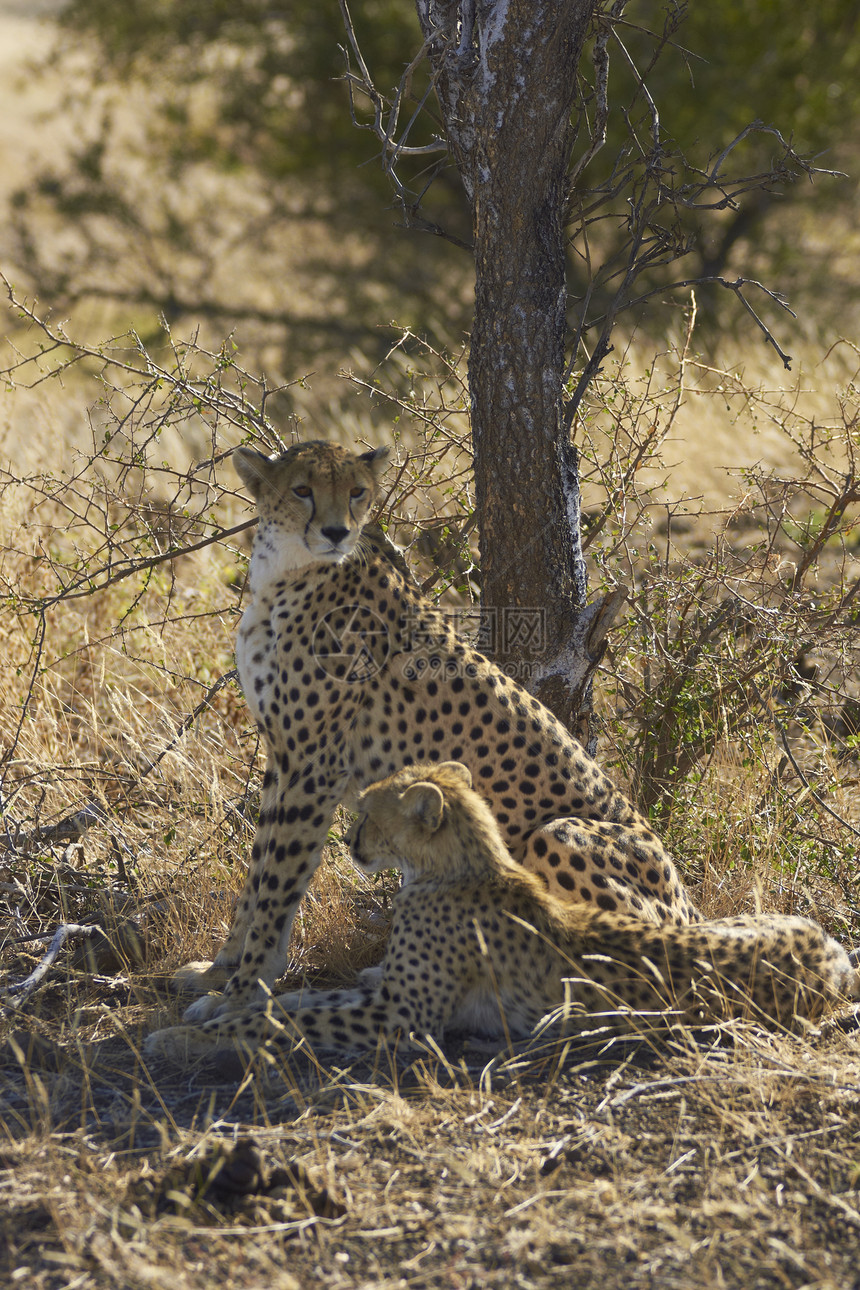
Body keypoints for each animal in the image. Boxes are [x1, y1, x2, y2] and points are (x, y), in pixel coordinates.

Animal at [144, 758, 856, 1062]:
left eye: (368, 813)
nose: (349, 843)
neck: (455, 869)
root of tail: (832, 955)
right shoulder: (395, 1000)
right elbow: (298, 1003)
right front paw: (223, 1006)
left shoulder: (403, 1019)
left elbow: (289, 1022)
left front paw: (186, 1037)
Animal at [170, 438, 701, 1021]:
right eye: (302, 489)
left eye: (357, 492)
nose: (336, 532)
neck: (285, 572)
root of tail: (693, 910)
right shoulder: (283, 757)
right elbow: (256, 873)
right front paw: (220, 971)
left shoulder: (314, 765)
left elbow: (278, 885)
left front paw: (241, 994)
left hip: (558, 835)